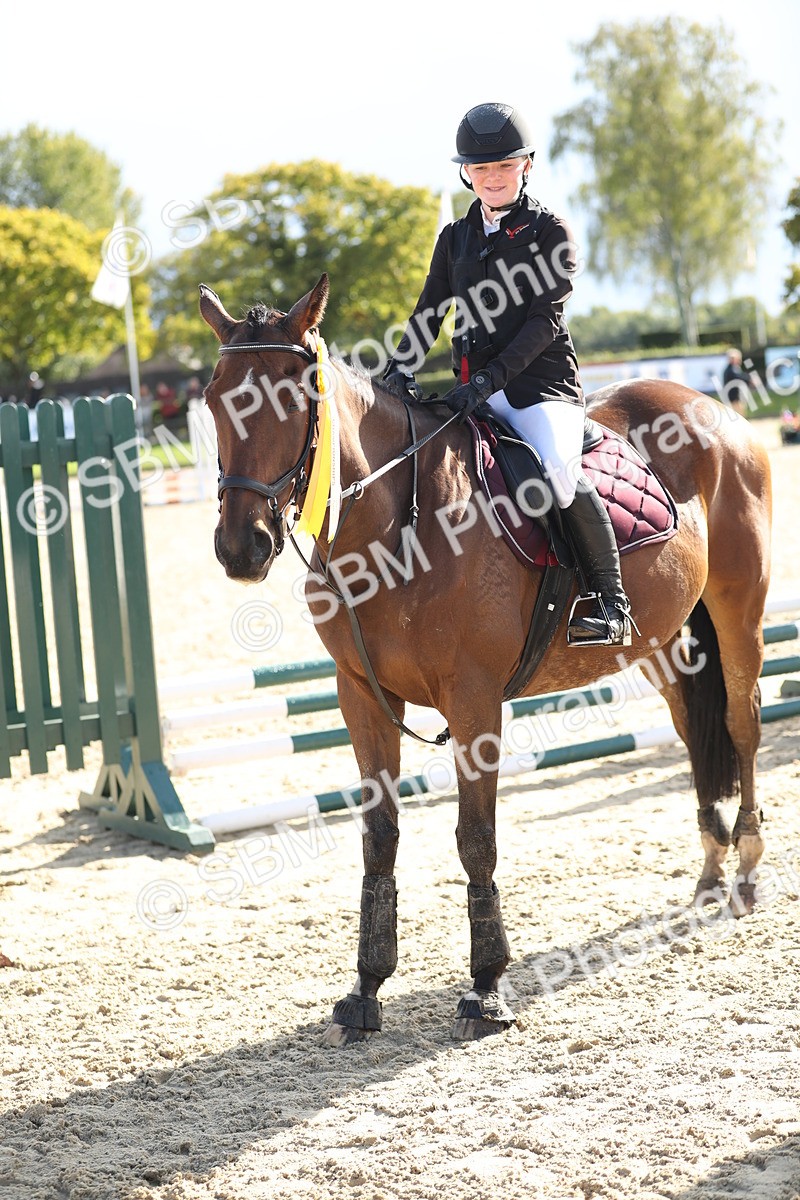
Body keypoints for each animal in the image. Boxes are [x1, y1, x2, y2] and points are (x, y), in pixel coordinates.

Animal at [199, 273, 772, 1045]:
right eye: (212, 399)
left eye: (294, 397)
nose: (242, 547)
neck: (400, 519)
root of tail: (715, 406)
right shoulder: (361, 697)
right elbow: (379, 838)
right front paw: (367, 989)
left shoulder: (474, 702)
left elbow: (476, 840)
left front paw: (486, 987)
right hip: (659, 639)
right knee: (692, 729)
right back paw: (710, 867)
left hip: (739, 614)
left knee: (742, 725)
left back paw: (744, 867)